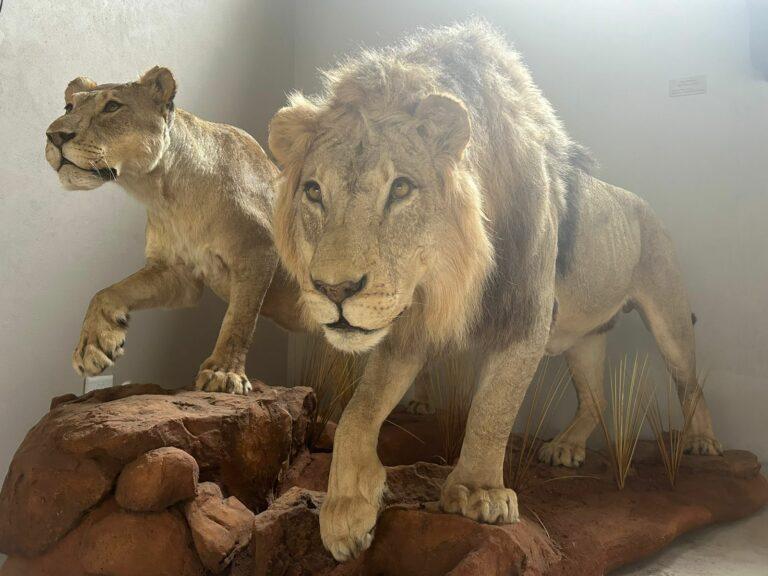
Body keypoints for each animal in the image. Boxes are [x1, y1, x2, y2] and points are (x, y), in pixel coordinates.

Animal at [45, 66, 303, 393]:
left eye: (112, 107)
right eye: (69, 107)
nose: (54, 135)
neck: (162, 192)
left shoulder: (258, 250)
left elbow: (239, 320)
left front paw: (224, 373)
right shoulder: (178, 274)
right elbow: (108, 291)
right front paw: (92, 346)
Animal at [268, 21, 722, 560]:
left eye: (401, 188)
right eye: (314, 191)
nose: (334, 289)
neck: (451, 277)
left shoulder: (527, 313)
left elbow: (493, 409)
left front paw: (478, 492)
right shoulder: (407, 324)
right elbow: (359, 413)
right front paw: (346, 510)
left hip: (668, 316)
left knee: (689, 381)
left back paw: (702, 443)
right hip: (585, 340)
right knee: (595, 398)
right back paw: (567, 447)